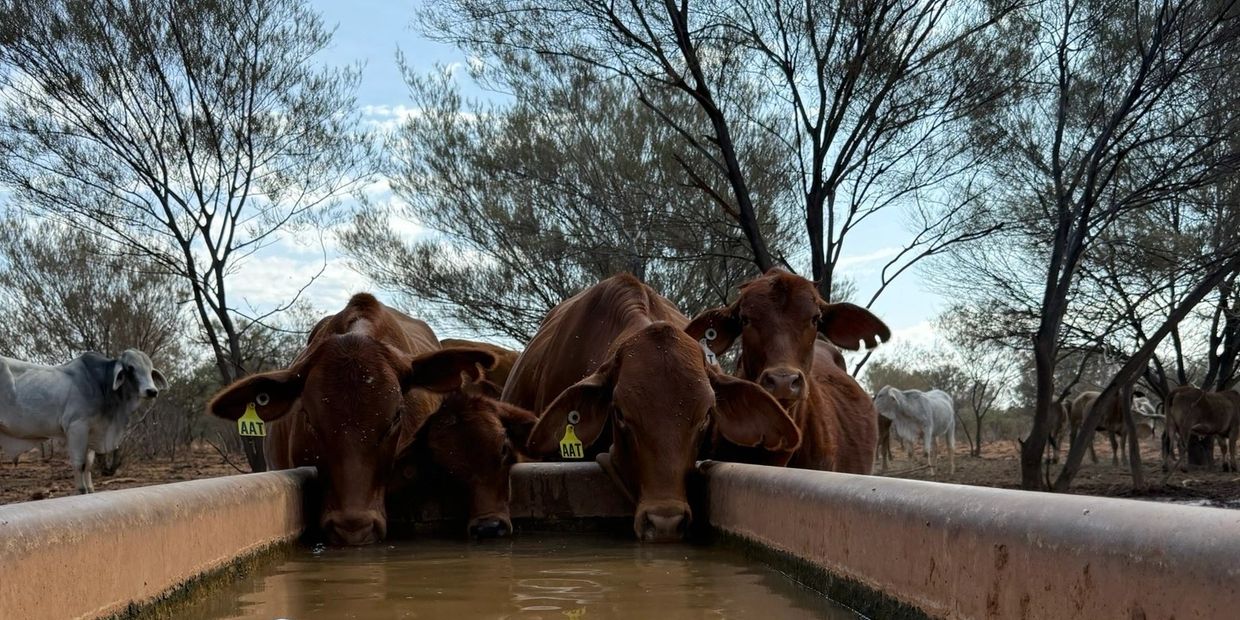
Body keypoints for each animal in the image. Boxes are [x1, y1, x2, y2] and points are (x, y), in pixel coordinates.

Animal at [0, 349, 166, 494]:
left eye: (150, 369)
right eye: (130, 368)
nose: (152, 391)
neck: (101, 384)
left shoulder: (92, 431)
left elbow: (88, 465)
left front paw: (90, 489)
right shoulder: (77, 427)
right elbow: (79, 463)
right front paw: (81, 490)